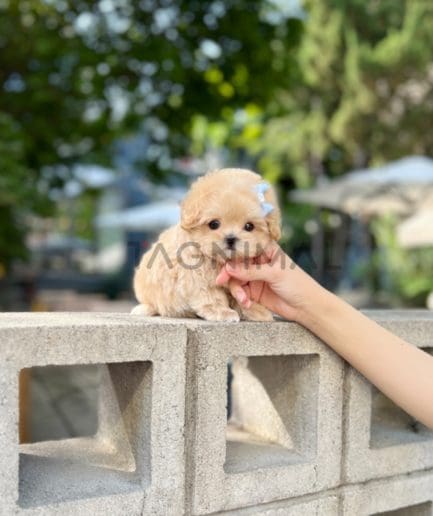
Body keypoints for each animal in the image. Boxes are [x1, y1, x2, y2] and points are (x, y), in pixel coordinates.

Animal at [132, 167, 280, 320]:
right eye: (214, 224)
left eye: (249, 226)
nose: (231, 238)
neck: (219, 260)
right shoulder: (196, 277)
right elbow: (211, 296)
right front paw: (222, 311)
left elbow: (240, 296)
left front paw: (255, 310)